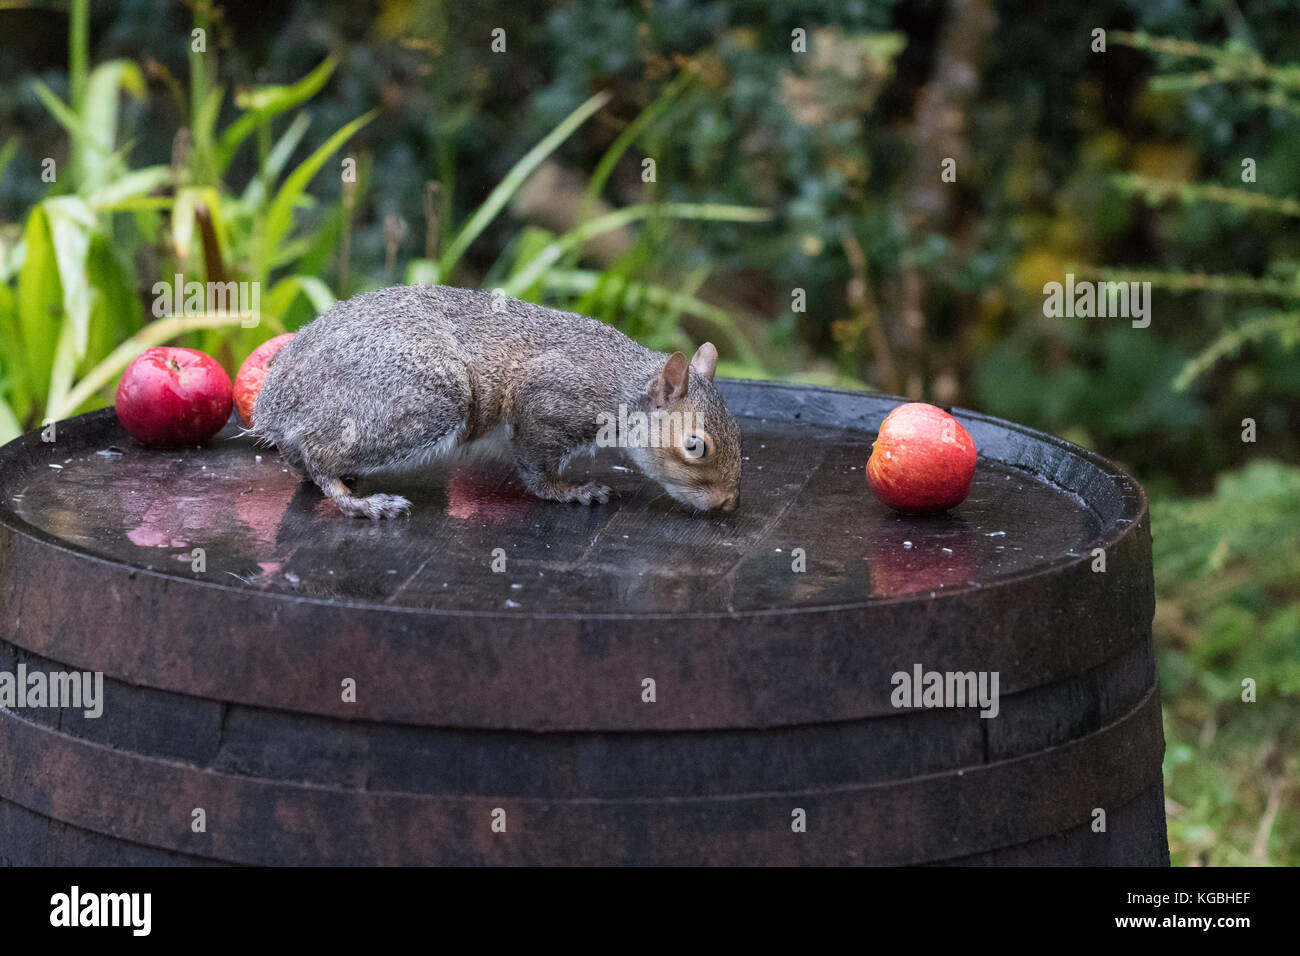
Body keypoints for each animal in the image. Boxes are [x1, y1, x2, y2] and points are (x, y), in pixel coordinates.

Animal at [251, 285, 742, 519]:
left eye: (739, 431)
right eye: (695, 446)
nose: (726, 504)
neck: (622, 385)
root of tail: (277, 401)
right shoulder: (547, 401)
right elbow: (537, 468)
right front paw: (571, 492)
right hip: (427, 400)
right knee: (318, 451)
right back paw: (357, 502)